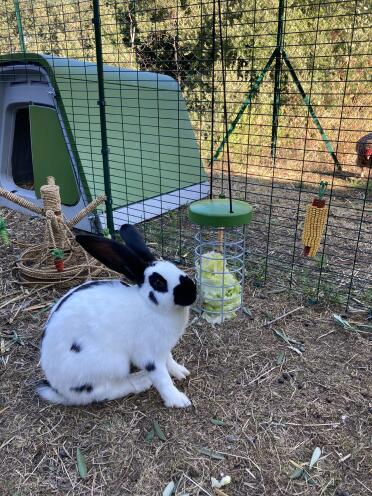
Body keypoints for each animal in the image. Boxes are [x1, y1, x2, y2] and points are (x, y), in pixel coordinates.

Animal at [36, 225, 196, 406]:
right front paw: (178, 400)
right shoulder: (149, 355)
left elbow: (169, 360)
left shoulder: (163, 348)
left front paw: (180, 371)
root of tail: (59, 389)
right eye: (158, 283)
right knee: (101, 392)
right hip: (111, 363)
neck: (151, 306)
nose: (193, 292)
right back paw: (140, 381)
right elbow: (162, 378)